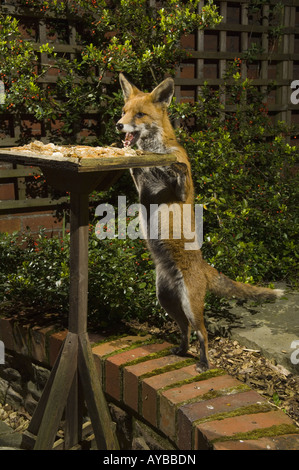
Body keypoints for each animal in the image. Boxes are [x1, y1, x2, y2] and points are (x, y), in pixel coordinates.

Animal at [116, 73, 284, 372]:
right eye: (124, 111)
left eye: (140, 114)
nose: (118, 125)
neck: (154, 155)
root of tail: (204, 267)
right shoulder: (139, 183)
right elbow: (136, 167)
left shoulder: (183, 190)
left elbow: (181, 169)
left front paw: (173, 165)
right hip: (167, 301)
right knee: (184, 330)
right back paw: (182, 351)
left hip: (191, 306)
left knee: (202, 333)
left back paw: (204, 363)